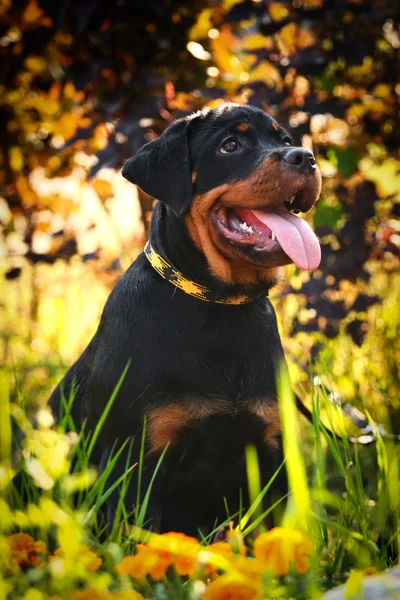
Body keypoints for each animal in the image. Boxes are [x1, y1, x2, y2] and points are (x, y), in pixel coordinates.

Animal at [48, 102, 322, 536]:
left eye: (285, 140)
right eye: (230, 145)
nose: (306, 158)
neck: (220, 306)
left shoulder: (272, 449)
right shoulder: (134, 460)